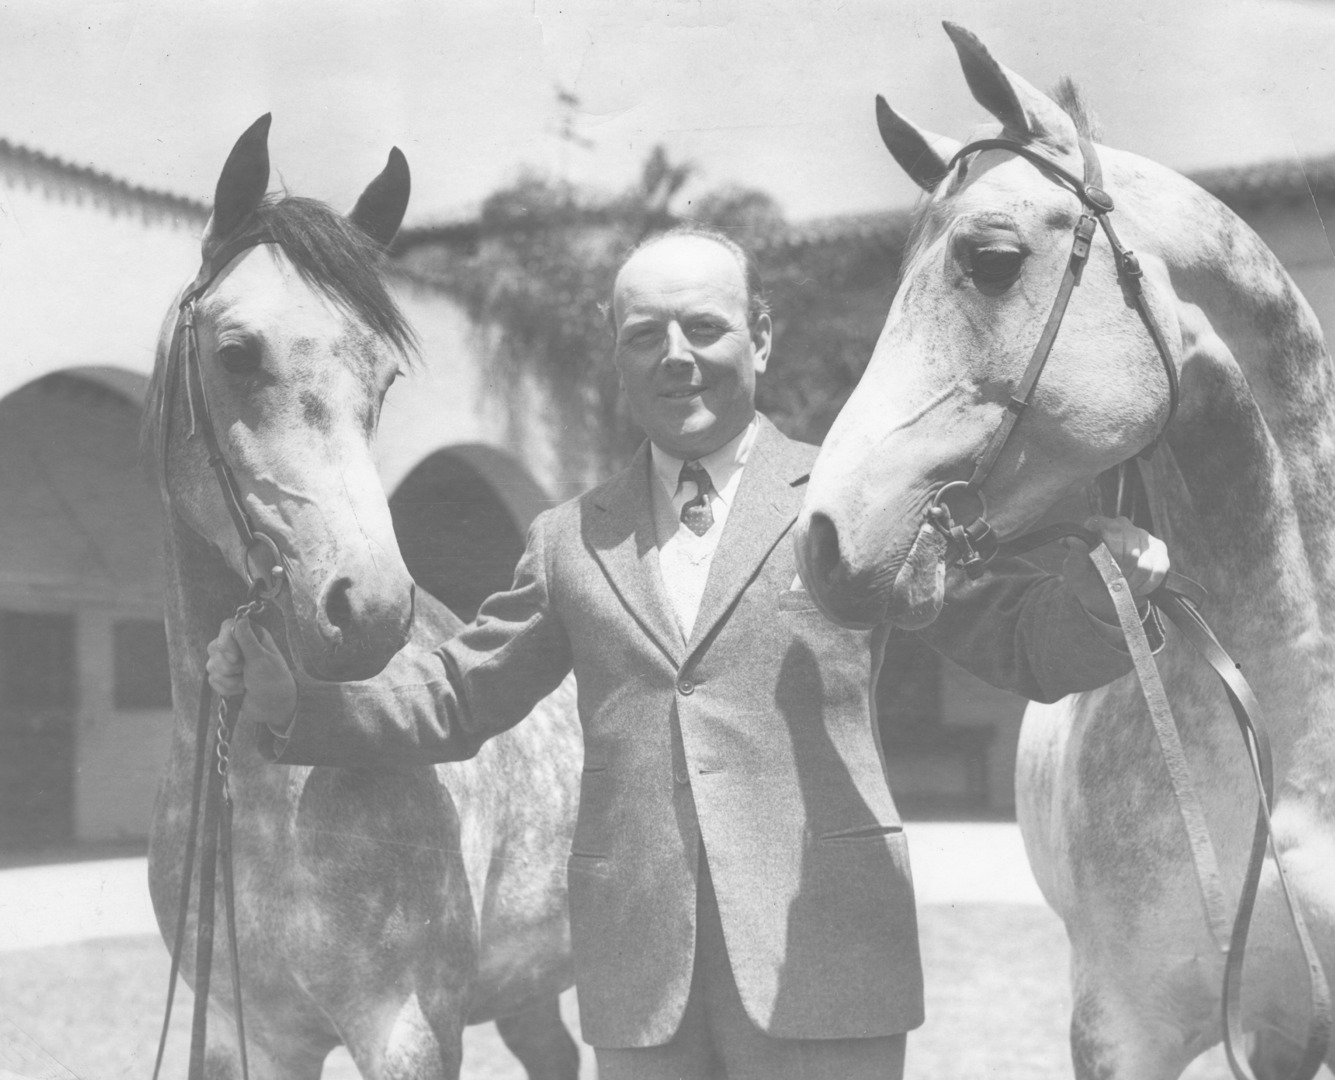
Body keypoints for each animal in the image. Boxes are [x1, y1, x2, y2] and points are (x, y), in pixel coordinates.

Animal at [143, 115, 583, 1080]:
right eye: (236, 354)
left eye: (384, 379)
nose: (370, 609)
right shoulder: (246, 1033)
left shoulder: (406, 1029)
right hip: (529, 987)